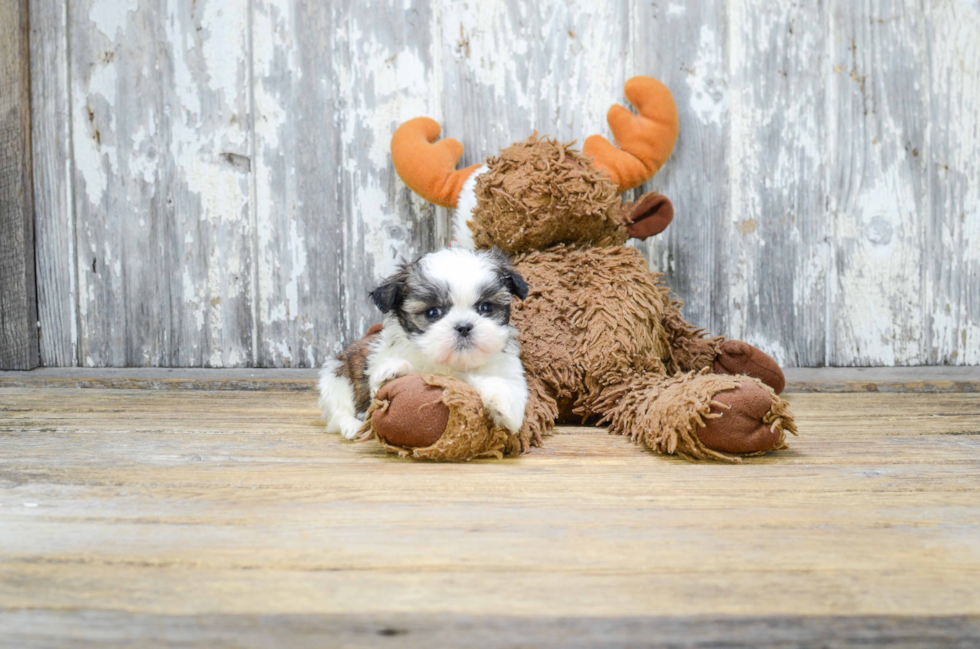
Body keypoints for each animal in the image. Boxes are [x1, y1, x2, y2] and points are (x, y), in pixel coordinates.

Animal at [320, 248, 528, 440]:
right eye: (432, 312)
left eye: (485, 307)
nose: (463, 327)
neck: (452, 364)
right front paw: (391, 373)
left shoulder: (508, 371)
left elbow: (506, 386)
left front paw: (502, 403)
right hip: (335, 375)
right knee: (338, 411)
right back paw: (353, 426)